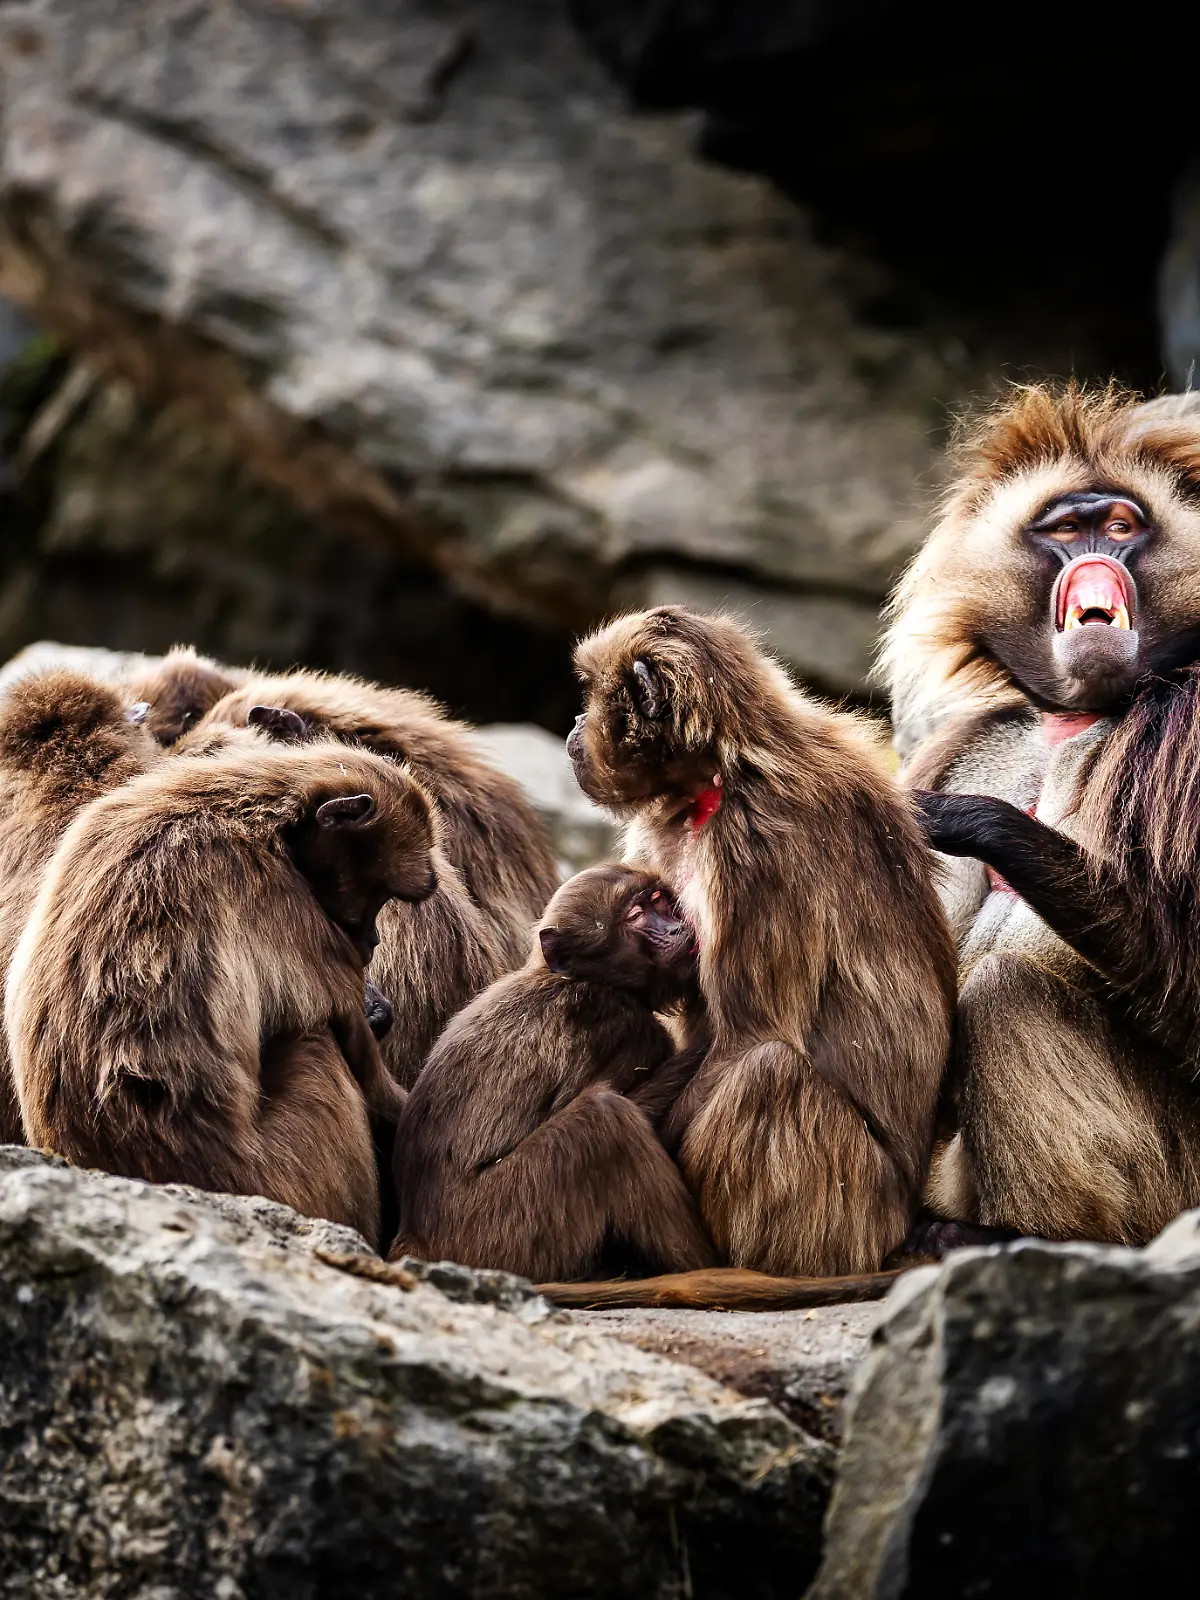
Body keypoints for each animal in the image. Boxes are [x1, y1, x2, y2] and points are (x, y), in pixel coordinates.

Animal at [8, 738, 438, 1245]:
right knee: (316, 1044)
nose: (371, 940)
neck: (265, 822)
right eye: (377, 894)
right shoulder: (292, 911)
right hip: (285, 1175)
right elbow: (365, 1063)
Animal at [389, 865, 716, 1282]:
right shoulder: (624, 1029)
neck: (579, 979)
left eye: (659, 901)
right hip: (499, 1232)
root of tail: (413, 1239)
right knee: (604, 1119)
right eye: (635, 916)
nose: (677, 928)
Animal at [567, 606, 956, 1279]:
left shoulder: (754, 851)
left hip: (854, 1218)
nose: (571, 725)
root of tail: (901, 1222)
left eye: (590, 697)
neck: (725, 770)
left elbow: (746, 1037)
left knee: (766, 1074)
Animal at [879, 382, 1200, 1247]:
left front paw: (961, 821)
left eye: (1120, 528)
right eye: (1064, 531)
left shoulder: (1191, 725)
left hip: (1174, 1181)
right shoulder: (973, 734)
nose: (1096, 557)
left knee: (1005, 991)